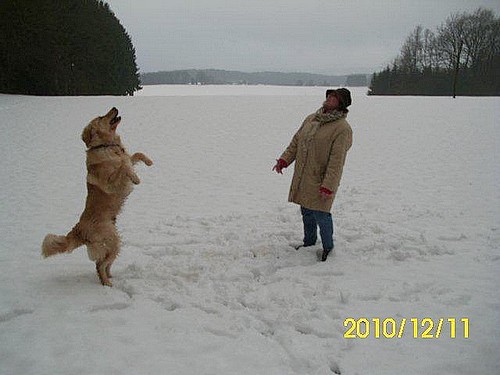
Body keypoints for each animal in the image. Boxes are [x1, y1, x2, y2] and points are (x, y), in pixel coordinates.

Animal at [41, 107, 152, 286]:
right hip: (113, 241)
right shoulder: (111, 183)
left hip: (113, 243)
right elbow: (124, 165)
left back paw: (110, 277)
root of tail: (78, 230)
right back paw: (107, 284)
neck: (106, 145)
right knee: (100, 265)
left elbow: (134, 155)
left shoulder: (126, 157)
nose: (115, 107)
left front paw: (148, 161)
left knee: (103, 263)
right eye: (101, 117)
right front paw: (136, 178)